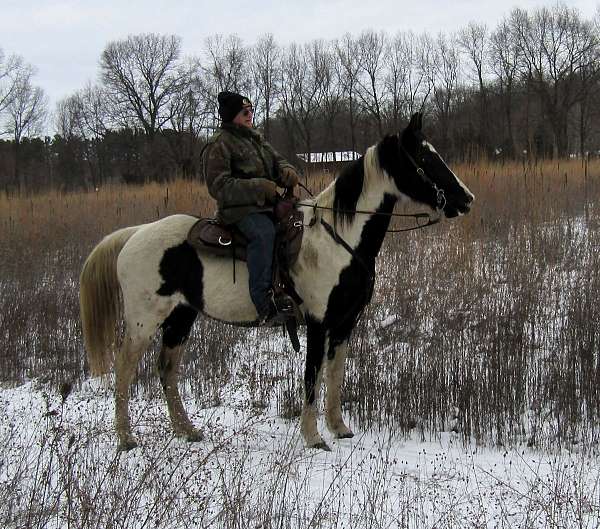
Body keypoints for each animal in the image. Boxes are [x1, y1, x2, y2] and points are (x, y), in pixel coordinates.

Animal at [78, 112, 474, 450]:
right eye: (424, 160)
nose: (466, 199)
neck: (338, 239)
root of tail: (135, 234)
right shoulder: (316, 323)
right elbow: (313, 376)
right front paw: (314, 437)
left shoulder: (345, 322)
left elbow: (336, 375)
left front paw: (339, 428)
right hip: (144, 321)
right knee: (124, 369)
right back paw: (127, 437)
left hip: (181, 316)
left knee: (167, 369)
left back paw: (187, 430)